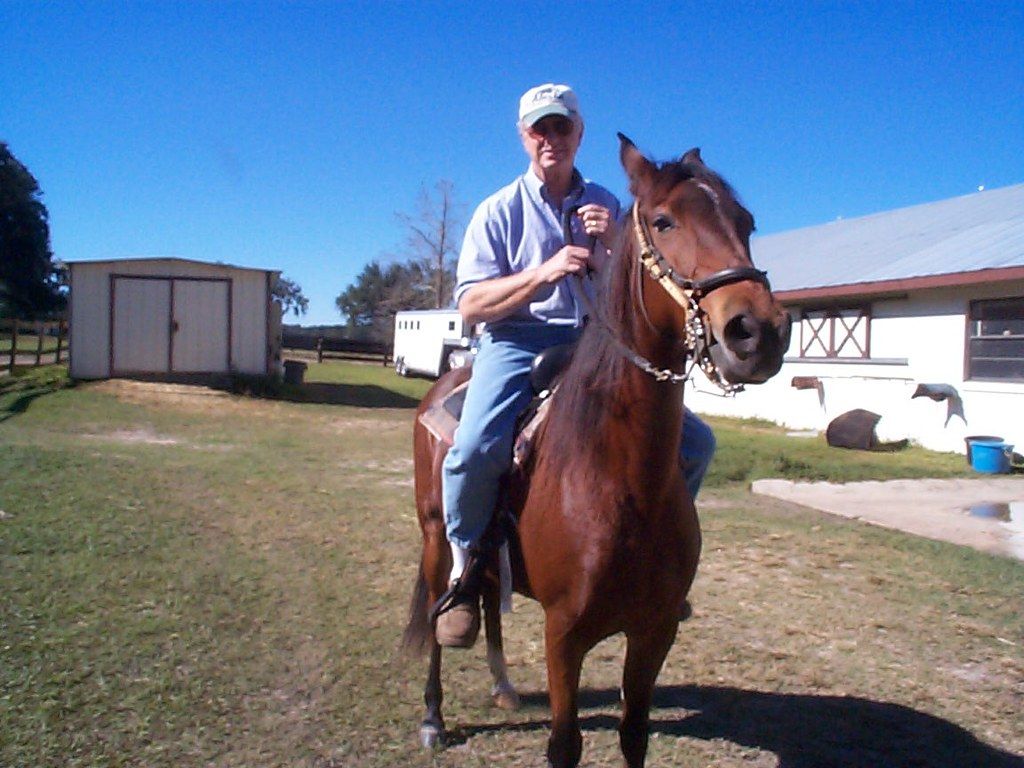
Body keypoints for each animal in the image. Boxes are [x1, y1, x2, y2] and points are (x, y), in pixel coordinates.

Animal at [402, 134, 791, 768]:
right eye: (664, 220)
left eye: (746, 222)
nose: (758, 332)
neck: (617, 478)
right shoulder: (565, 635)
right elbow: (565, 743)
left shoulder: (654, 631)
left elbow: (635, 734)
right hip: (436, 535)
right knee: (444, 609)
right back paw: (434, 714)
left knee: (488, 597)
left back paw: (503, 686)